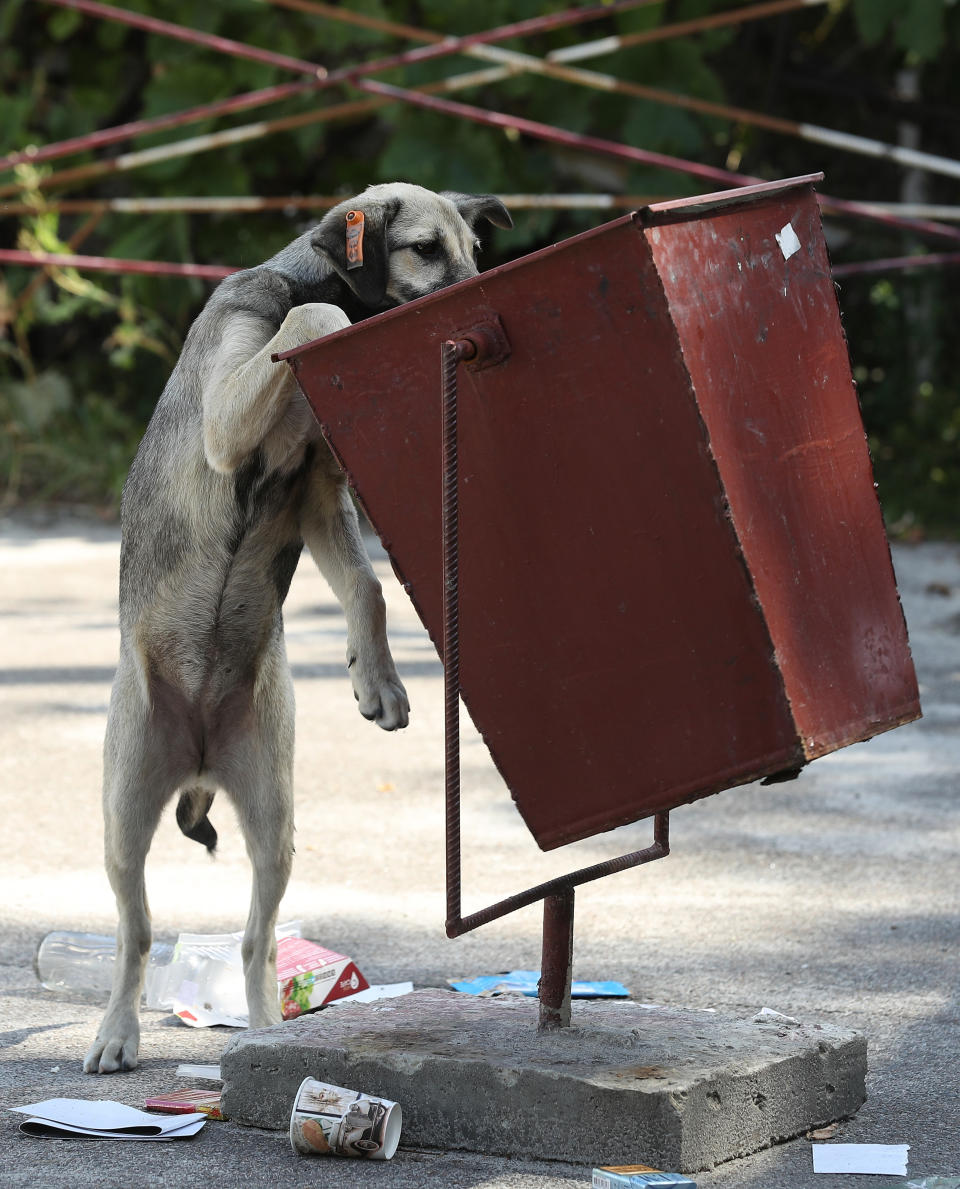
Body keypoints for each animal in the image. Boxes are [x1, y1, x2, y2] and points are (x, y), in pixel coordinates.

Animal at [83, 180, 513, 1074]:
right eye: (426, 250)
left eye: (474, 253)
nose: (478, 298)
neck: (306, 281)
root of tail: (200, 755)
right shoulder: (229, 419)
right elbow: (317, 319)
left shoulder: (318, 493)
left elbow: (368, 585)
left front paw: (377, 679)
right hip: (124, 813)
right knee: (136, 934)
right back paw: (117, 1033)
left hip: (274, 823)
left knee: (257, 942)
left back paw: (266, 1036)